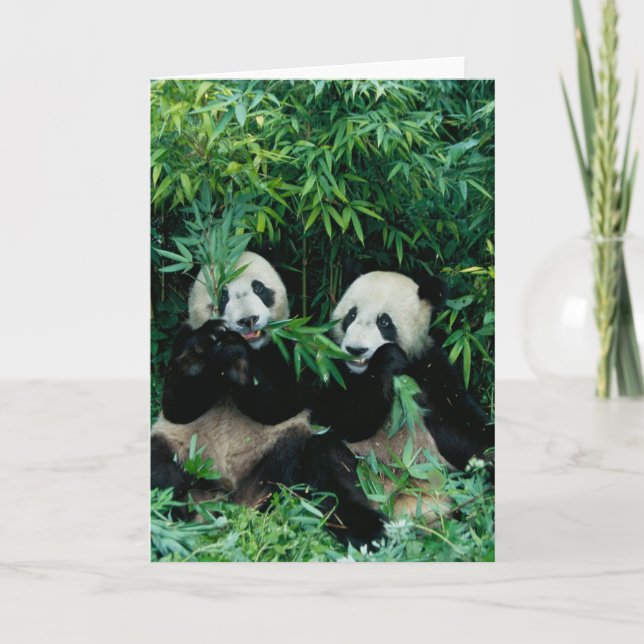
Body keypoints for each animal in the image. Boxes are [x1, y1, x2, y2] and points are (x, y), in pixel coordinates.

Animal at [151, 250, 386, 547]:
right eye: (223, 295)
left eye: (259, 289)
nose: (248, 320)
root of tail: (233, 500)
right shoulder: (182, 338)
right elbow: (177, 406)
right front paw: (199, 354)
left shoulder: (297, 348)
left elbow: (283, 403)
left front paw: (238, 359)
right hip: (185, 454)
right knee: (159, 467)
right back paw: (171, 518)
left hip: (283, 455)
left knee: (325, 466)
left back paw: (371, 531)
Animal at [311, 268, 494, 517]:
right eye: (351, 315)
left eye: (384, 321)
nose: (356, 349)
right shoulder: (329, 365)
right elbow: (342, 419)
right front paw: (387, 358)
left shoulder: (429, 371)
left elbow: (462, 428)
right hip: (360, 470)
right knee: (330, 477)